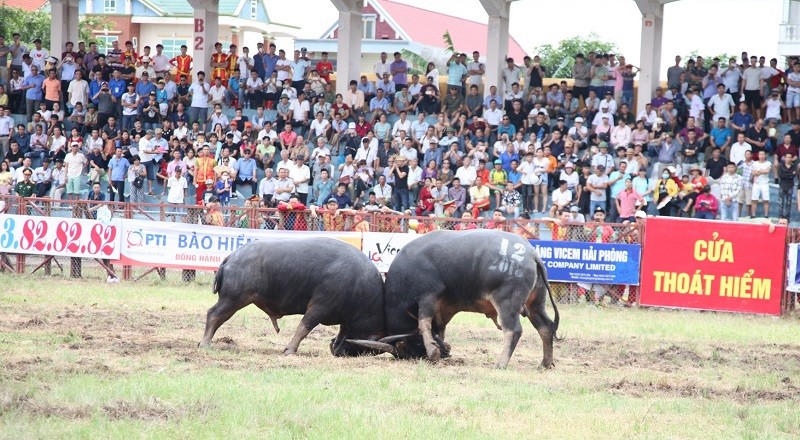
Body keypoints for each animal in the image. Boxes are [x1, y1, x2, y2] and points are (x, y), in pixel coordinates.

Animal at [200, 237, 388, 358]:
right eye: (369, 349)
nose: (339, 352)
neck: (358, 283)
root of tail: (231, 257)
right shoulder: (320, 306)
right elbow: (304, 327)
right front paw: (290, 350)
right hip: (233, 299)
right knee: (214, 315)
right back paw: (205, 343)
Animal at [350, 229, 556, 370]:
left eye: (408, 350)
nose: (447, 351)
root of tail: (531, 254)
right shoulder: (443, 309)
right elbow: (438, 329)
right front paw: (440, 349)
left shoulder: (427, 296)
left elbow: (423, 323)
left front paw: (433, 353)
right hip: (536, 305)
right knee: (546, 327)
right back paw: (545, 363)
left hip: (507, 304)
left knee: (513, 330)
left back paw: (501, 363)